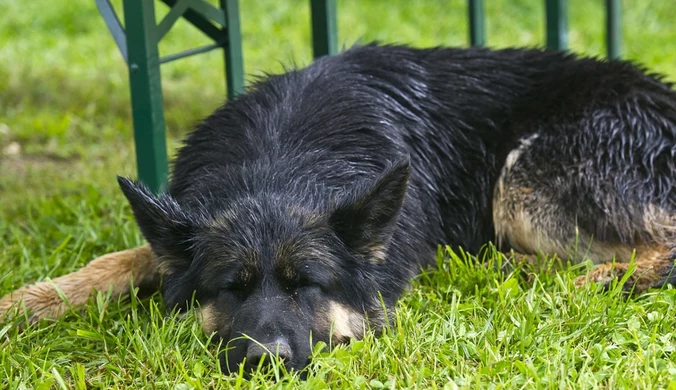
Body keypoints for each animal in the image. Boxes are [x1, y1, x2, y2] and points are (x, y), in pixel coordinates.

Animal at [1, 43, 676, 374]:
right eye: (230, 288)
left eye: (309, 284)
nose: (264, 362)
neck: (281, 159)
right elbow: (120, 258)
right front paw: (29, 302)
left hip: (523, 179)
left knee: (659, 245)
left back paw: (594, 279)